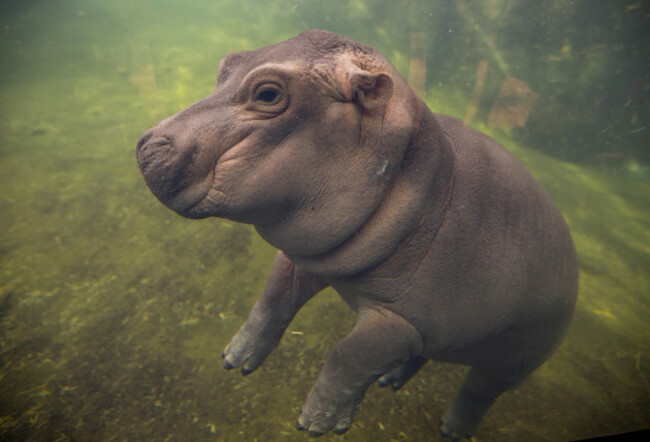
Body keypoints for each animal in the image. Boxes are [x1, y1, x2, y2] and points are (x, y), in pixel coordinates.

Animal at [138, 30, 576, 438]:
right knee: (422, 356)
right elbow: (272, 301)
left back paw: (452, 430)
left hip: (513, 359)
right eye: (227, 63)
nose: (146, 144)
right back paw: (390, 380)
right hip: (446, 335)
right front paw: (234, 359)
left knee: (479, 391)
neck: (422, 175)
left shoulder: (402, 319)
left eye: (268, 93)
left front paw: (316, 424)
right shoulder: (307, 257)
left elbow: (348, 356)